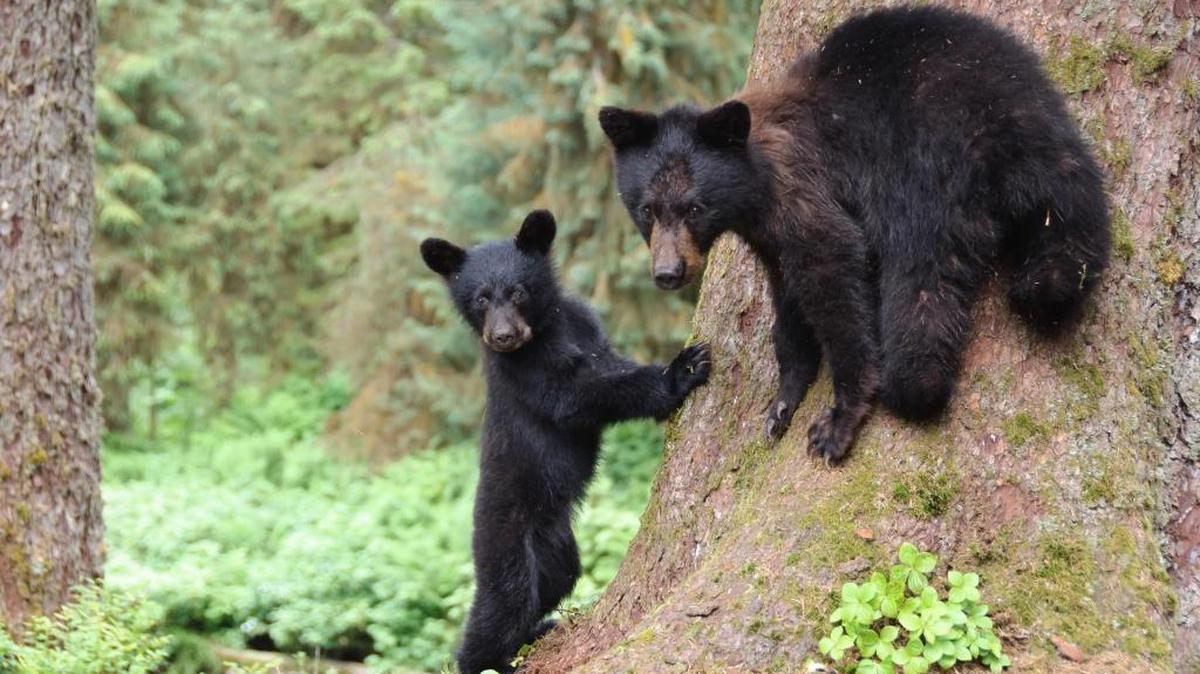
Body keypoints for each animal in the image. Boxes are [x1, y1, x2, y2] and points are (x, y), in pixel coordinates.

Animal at [419, 210, 712, 674]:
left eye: (518, 291)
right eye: (480, 299)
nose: (502, 336)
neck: (546, 330)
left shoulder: (587, 328)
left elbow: (609, 364)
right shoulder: (528, 370)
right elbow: (576, 395)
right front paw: (679, 371)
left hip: (555, 546)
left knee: (555, 581)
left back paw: (539, 630)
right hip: (505, 542)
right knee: (501, 605)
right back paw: (488, 658)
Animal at [598, 5, 1110, 462]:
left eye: (694, 206)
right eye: (647, 209)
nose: (669, 272)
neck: (755, 183)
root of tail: (991, 138)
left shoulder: (803, 193)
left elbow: (834, 269)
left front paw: (840, 415)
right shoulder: (768, 235)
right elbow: (788, 301)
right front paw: (783, 400)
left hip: (920, 174)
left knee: (920, 277)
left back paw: (915, 382)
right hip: (1046, 138)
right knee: (1074, 215)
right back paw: (1049, 283)